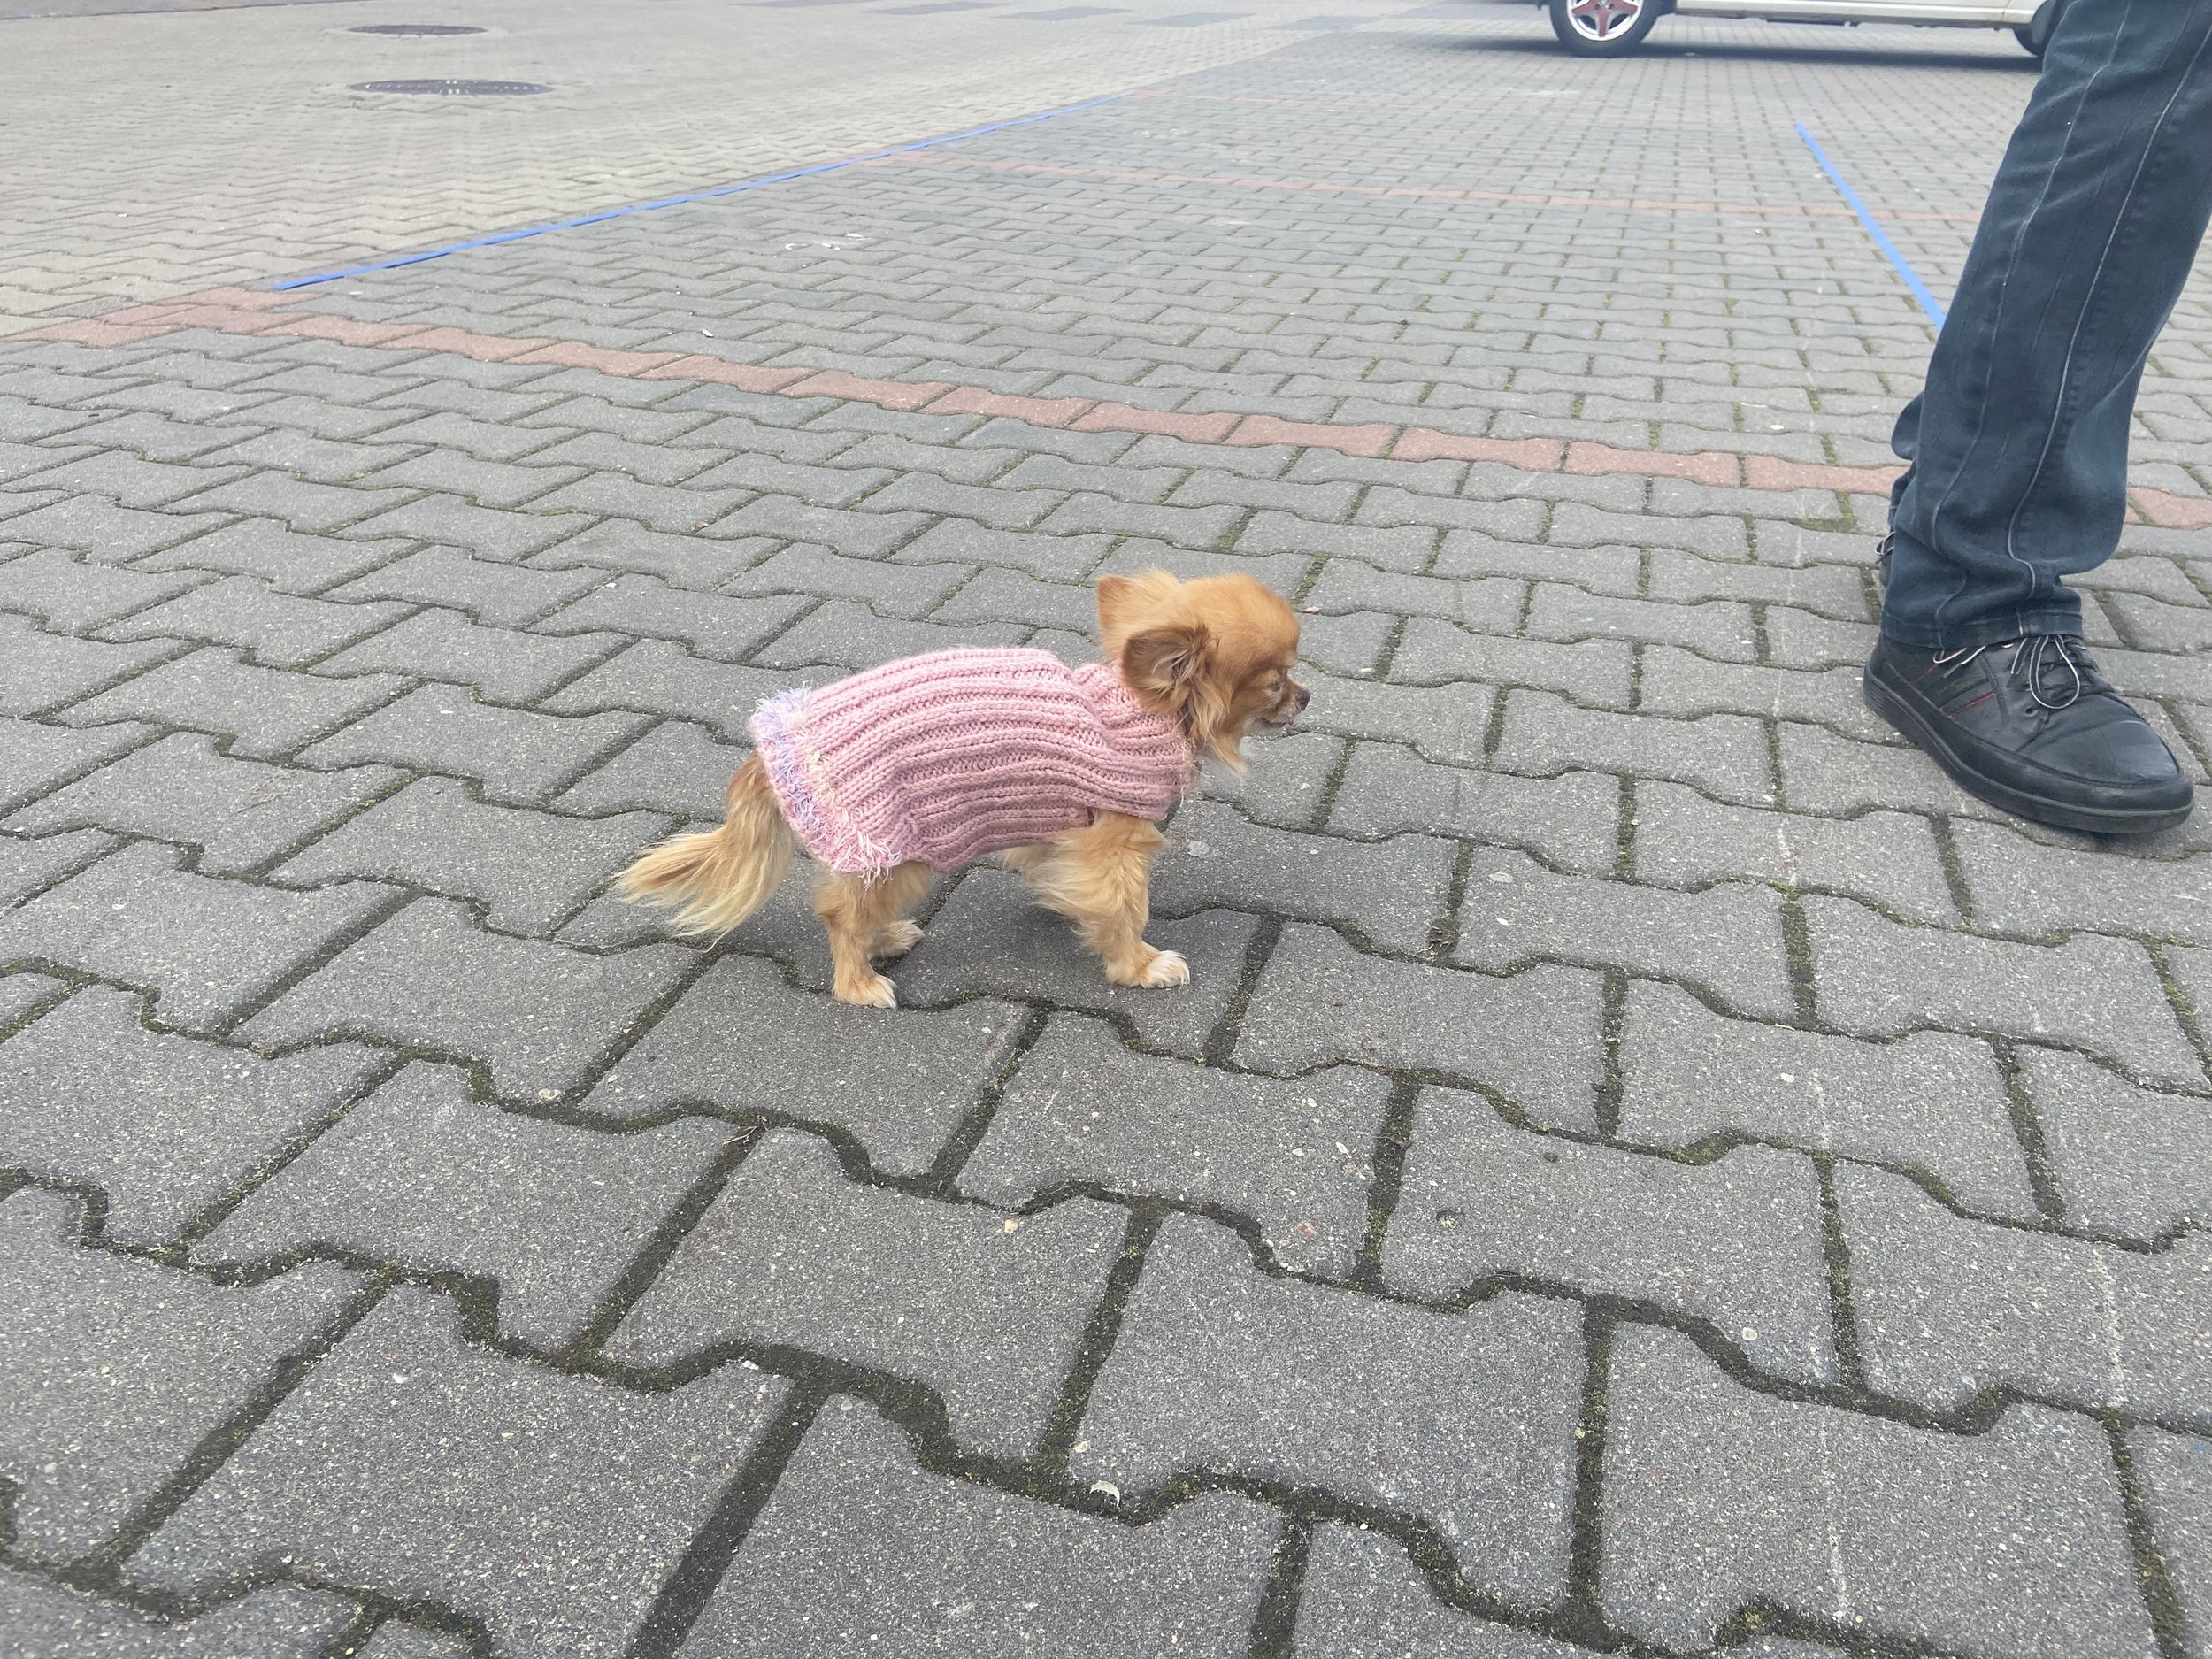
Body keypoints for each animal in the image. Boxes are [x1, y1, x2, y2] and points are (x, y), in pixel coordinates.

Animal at [615, 571, 1301, 1009]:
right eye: (1274, 682)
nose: (1308, 696)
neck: (1142, 712)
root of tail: (772, 751)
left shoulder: (1062, 826)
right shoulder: (1116, 842)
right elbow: (1123, 908)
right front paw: (1139, 966)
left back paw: (884, 937)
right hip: (899, 848)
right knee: (838, 913)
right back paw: (858, 982)